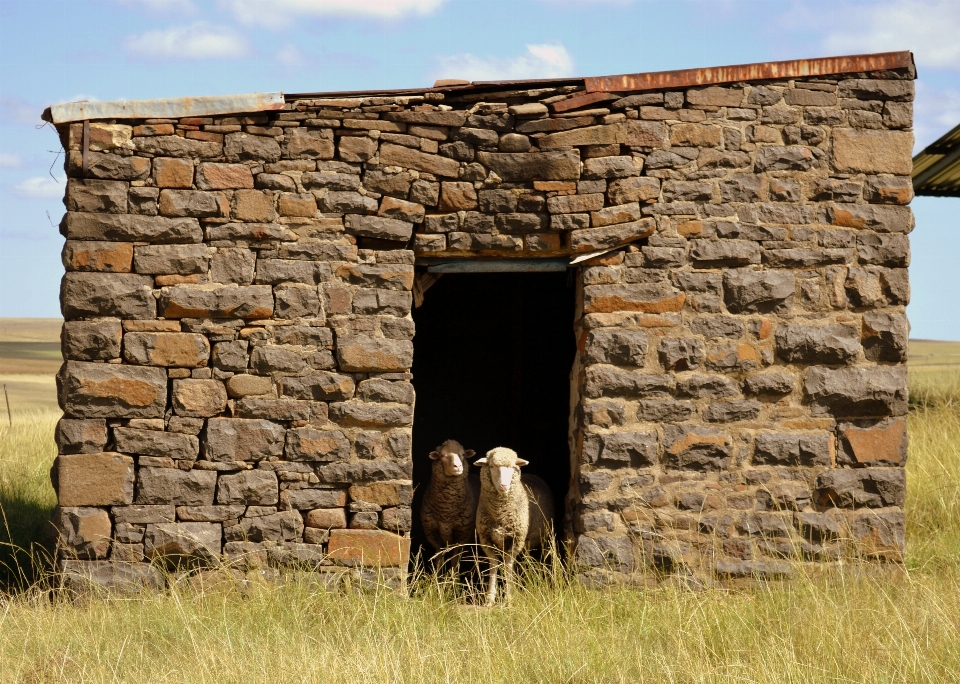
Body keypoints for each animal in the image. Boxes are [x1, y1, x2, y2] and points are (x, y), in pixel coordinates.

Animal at [420, 438, 480, 572]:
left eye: (463, 454)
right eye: (442, 455)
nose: (458, 466)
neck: (447, 511)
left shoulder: (462, 536)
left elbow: (454, 562)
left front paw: (453, 577)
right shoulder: (434, 534)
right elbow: (439, 561)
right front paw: (438, 576)